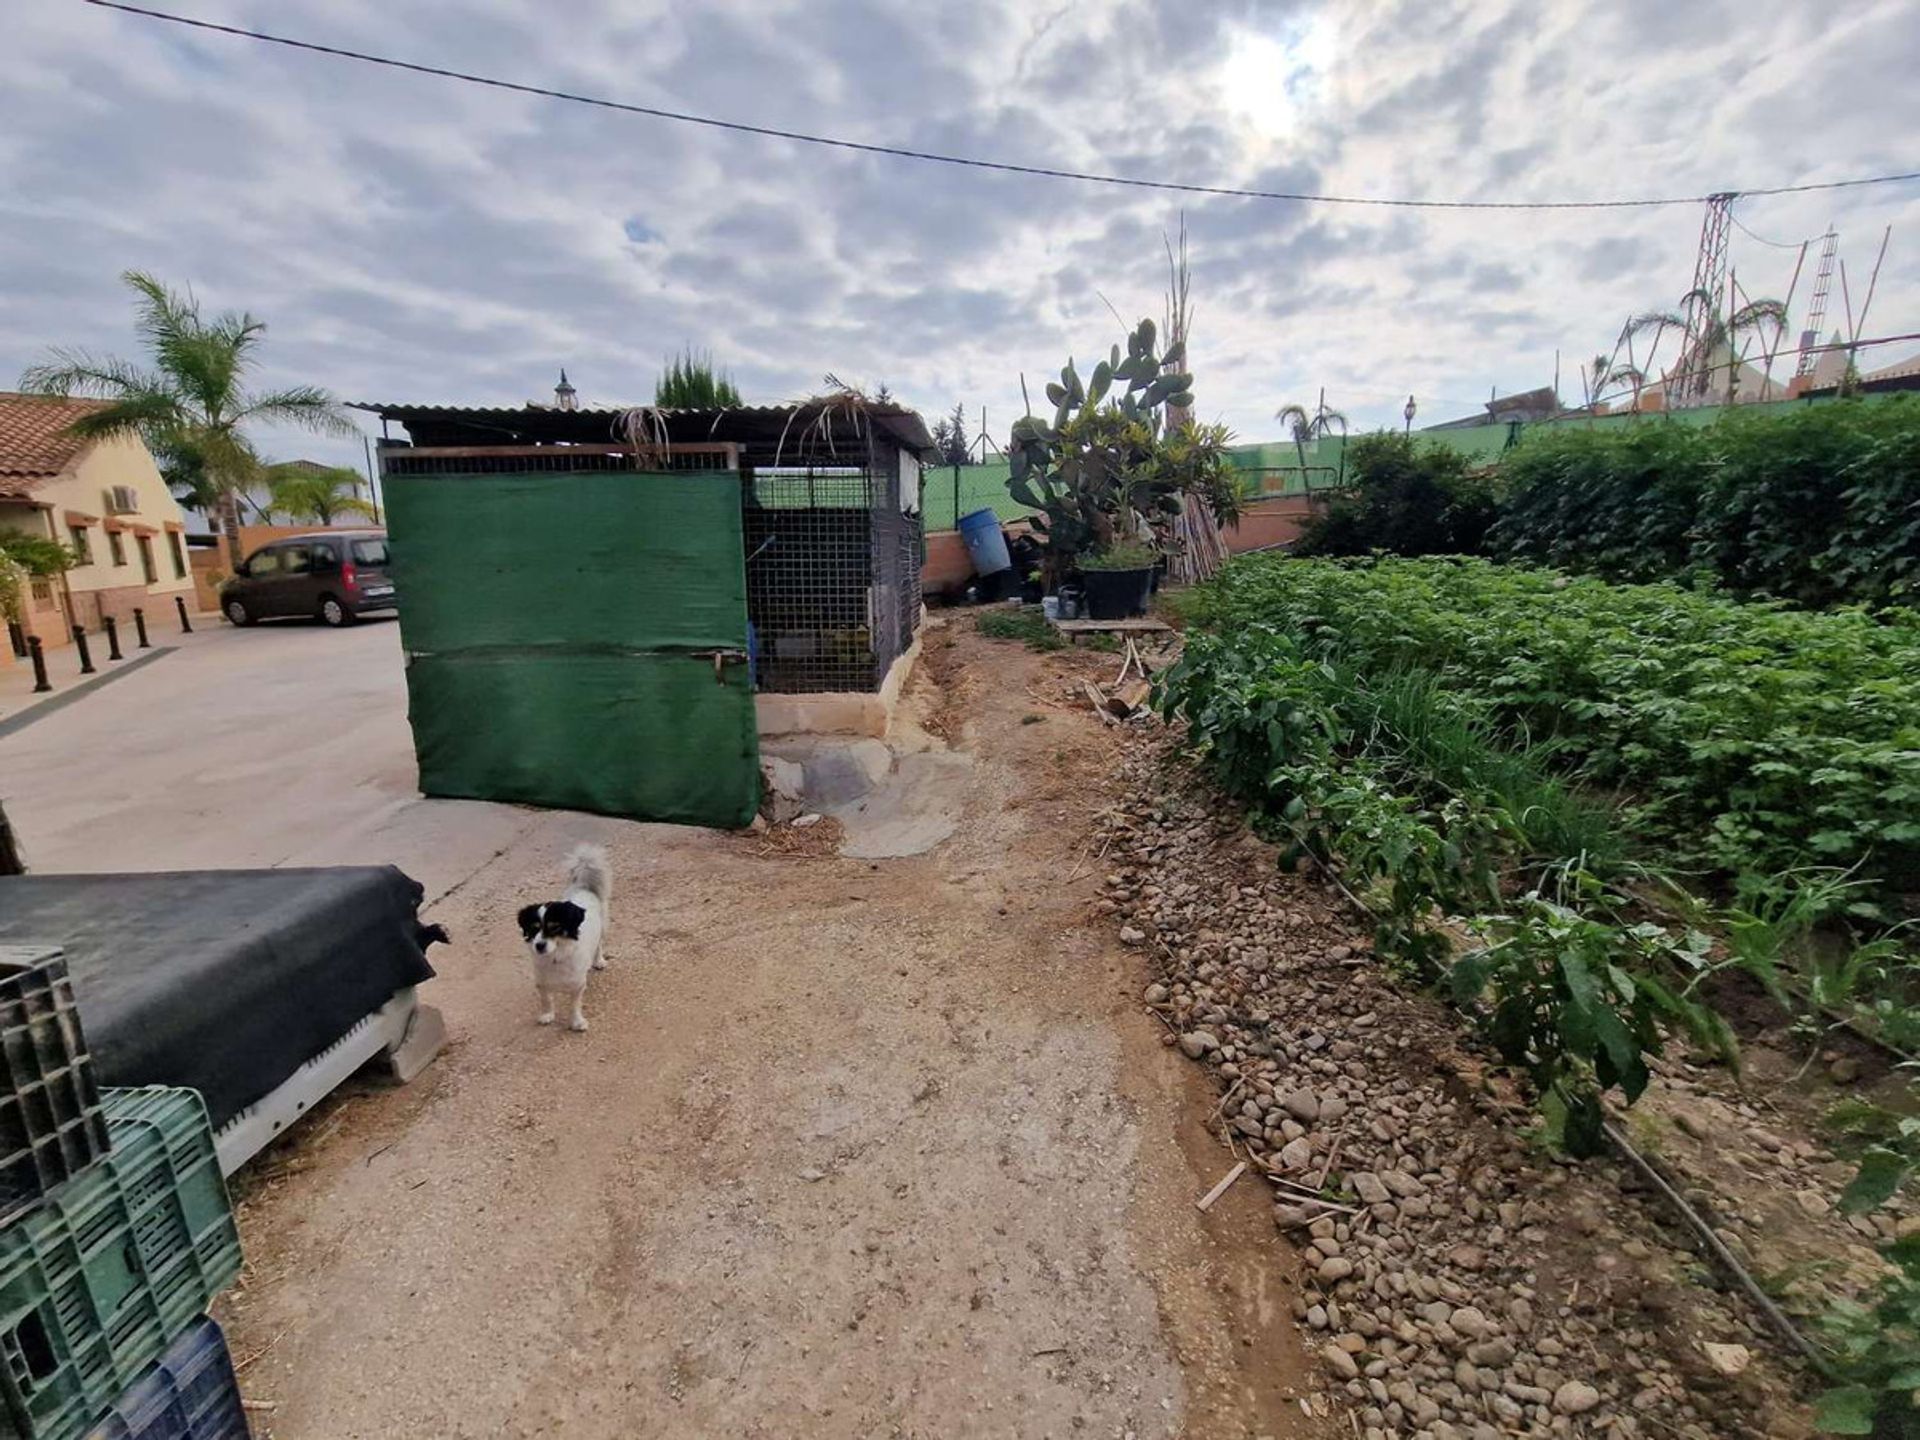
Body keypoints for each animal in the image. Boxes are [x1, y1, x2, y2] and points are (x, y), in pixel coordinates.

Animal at [522, 844, 610, 1036]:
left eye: (554, 927)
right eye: (533, 928)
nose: (539, 946)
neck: (556, 956)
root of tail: (583, 887)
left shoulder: (577, 985)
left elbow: (574, 1006)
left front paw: (576, 1022)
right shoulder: (541, 982)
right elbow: (546, 1000)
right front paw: (547, 1015)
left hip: (603, 927)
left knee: (599, 944)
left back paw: (599, 961)